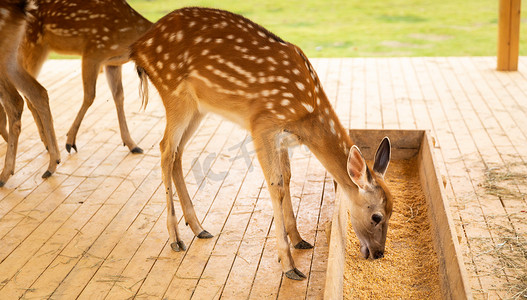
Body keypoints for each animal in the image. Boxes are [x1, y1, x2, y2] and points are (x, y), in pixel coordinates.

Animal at [17, 0, 153, 154]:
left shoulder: (112, 62)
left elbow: (119, 96)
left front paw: (132, 144)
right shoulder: (93, 52)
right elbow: (89, 96)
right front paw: (70, 142)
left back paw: (46, 143)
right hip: (32, 44)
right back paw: (48, 144)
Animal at [129, 7, 392, 282]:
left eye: (393, 210)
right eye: (376, 216)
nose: (378, 253)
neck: (307, 114)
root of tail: (137, 47)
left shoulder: (283, 139)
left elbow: (287, 178)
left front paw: (299, 239)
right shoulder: (262, 125)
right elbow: (276, 185)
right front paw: (289, 265)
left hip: (197, 108)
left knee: (178, 152)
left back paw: (199, 228)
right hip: (174, 93)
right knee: (165, 149)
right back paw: (176, 238)